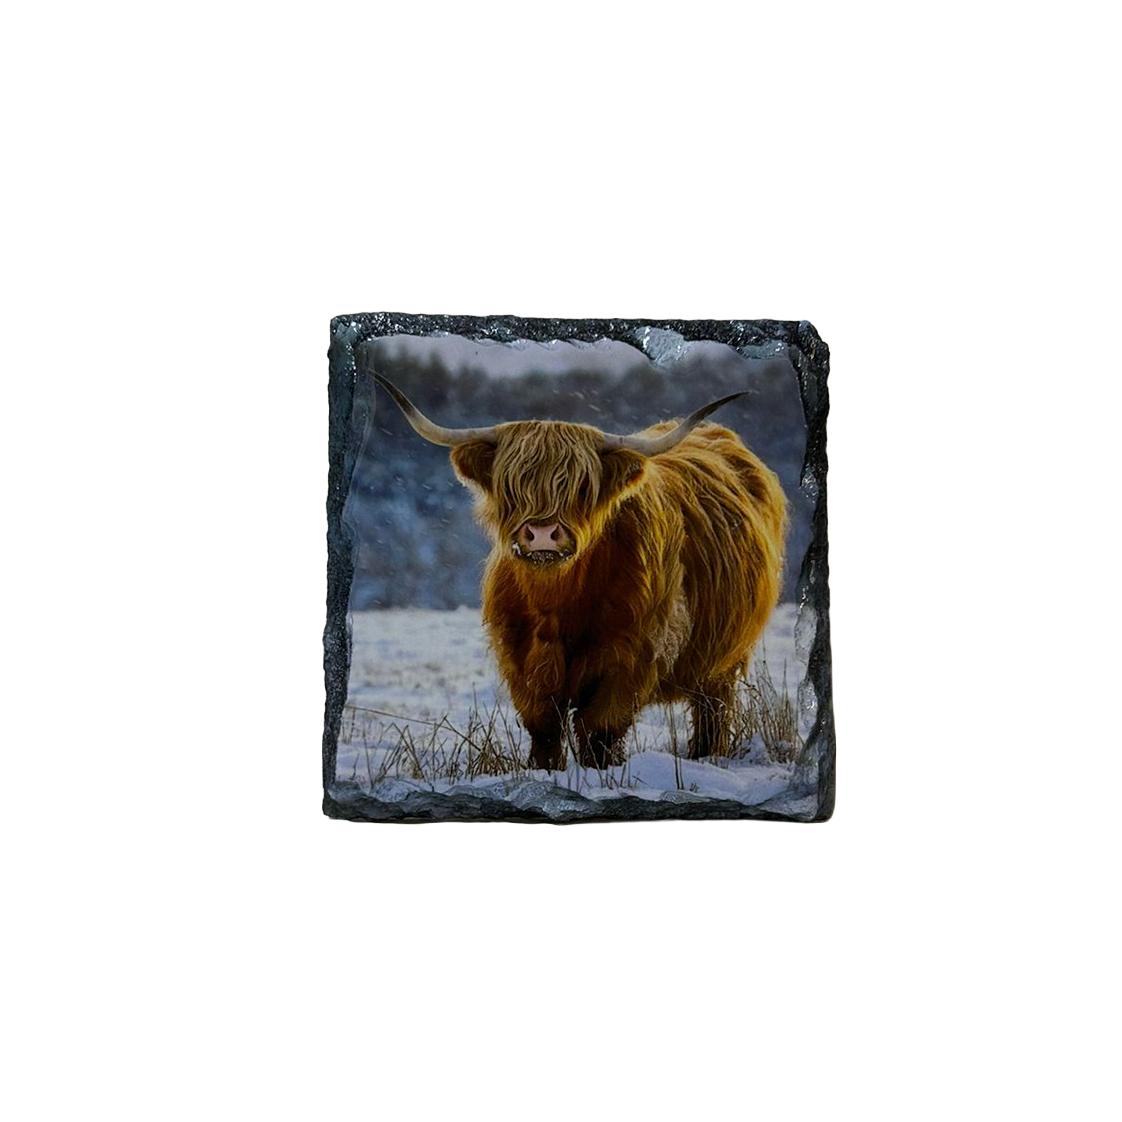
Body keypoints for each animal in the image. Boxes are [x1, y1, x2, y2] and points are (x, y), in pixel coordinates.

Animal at [373, 372, 788, 772]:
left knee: (712, 712)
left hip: (724, 660)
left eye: (582, 486)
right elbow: (543, 728)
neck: (557, 605)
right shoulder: (519, 657)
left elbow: (599, 731)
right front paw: (545, 771)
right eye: (510, 484)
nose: (542, 534)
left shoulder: (632, 655)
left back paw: (706, 757)